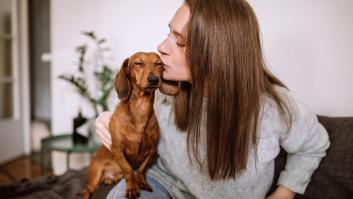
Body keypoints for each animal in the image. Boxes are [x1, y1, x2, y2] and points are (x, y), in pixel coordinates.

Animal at [83, 52, 163, 198]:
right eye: (138, 63)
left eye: (159, 64)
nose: (154, 79)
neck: (140, 110)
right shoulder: (118, 150)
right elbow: (128, 170)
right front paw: (132, 187)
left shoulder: (152, 150)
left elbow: (141, 170)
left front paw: (142, 182)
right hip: (94, 177)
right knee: (86, 191)